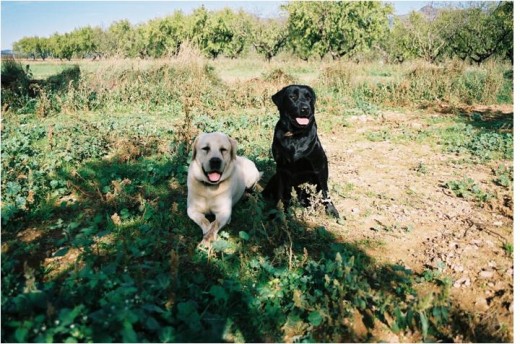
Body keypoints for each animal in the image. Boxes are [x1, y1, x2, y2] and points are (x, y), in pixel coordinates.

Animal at [262, 84, 340, 218]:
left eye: (309, 98)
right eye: (293, 97)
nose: (305, 108)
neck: (295, 135)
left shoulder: (320, 168)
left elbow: (325, 192)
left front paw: (331, 210)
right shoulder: (281, 169)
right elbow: (281, 193)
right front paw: (279, 212)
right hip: (274, 177)